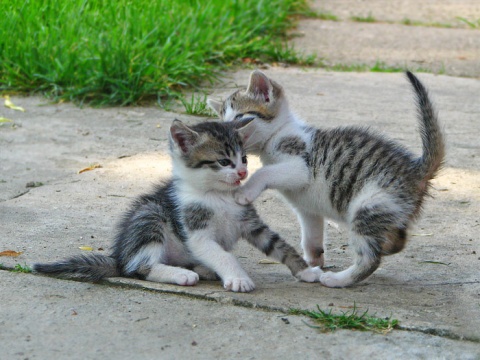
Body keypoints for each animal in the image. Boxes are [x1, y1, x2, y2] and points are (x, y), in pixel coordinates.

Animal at [34, 119, 322, 292]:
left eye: (244, 159)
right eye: (224, 161)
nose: (242, 173)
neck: (217, 195)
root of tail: (119, 257)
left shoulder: (249, 221)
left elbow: (278, 245)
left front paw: (306, 271)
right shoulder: (195, 230)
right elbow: (223, 254)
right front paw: (238, 278)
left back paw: (201, 269)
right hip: (149, 215)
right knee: (138, 268)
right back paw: (180, 275)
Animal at [208, 71, 444, 288]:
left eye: (239, 117)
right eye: (222, 121)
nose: (223, 133)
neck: (276, 135)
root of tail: (415, 169)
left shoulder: (300, 167)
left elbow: (264, 172)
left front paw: (244, 192)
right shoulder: (308, 209)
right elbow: (311, 236)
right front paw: (312, 262)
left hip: (370, 205)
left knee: (369, 259)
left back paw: (339, 279)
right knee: (397, 240)